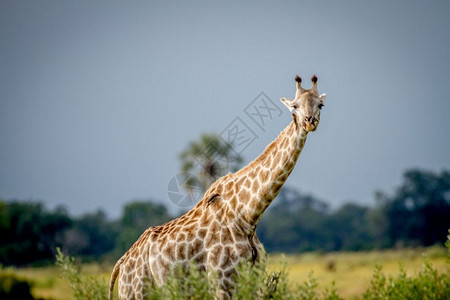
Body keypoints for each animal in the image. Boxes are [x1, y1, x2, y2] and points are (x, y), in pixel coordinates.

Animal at [109, 74, 326, 298]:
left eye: (320, 104)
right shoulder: (221, 282)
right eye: (295, 106)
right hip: (134, 292)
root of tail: (121, 263)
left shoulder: (252, 281)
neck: (248, 216)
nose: (310, 122)